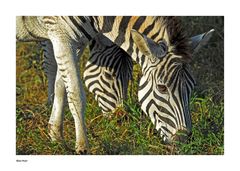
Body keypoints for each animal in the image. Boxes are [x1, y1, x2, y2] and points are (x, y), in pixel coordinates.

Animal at [15, 16, 213, 154]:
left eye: (192, 87)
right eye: (162, 88)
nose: (184, 142)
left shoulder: (73, 41)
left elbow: (62, 88)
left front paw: (56, 136)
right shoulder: (60, 35)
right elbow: (76, 94)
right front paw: (82, 147)